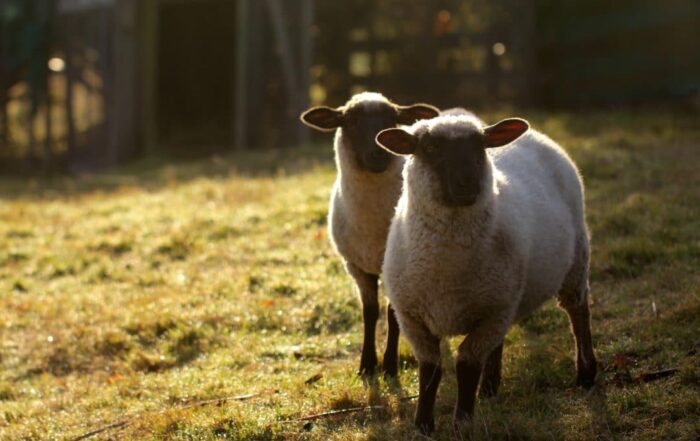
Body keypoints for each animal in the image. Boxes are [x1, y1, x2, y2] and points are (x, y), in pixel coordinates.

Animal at [299, 92, 439, 376]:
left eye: (392, 120)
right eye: (350, 122)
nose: (378, 154)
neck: (373, 226)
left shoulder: (394, 268)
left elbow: (392, 314)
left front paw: (389, 365)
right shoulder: (356, 266)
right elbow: (370, 312)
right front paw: (366, 365)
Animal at [375, 114, 598, 433]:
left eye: (480, 146)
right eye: (429, 147)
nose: (468, 183)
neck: (447, 268)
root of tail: (537, 135)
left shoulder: (493, 313)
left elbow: (466, 367)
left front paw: (462, 424)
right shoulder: (413, 317)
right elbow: (430, 370)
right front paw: (424, 424)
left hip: (575, 261)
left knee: (578, 314)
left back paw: (586, 374)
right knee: (499, 341)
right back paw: (490, 388)